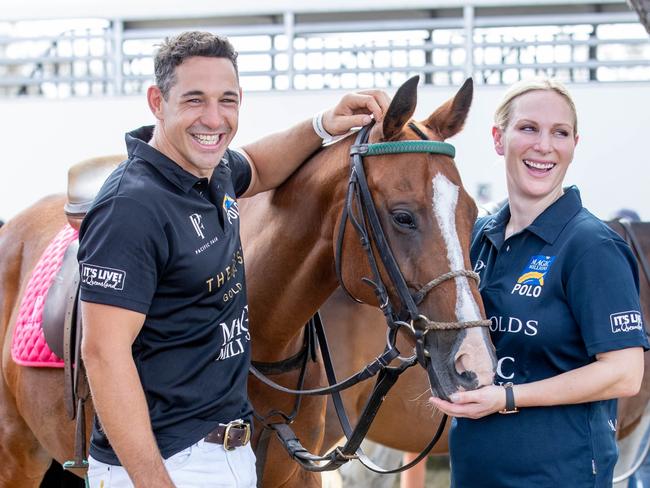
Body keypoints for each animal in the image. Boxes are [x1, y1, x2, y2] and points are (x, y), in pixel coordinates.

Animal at [0, 77, 494, 488]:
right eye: (403, 216)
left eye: (471, 213)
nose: (475, 366)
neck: (266, 344)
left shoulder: (299, 473)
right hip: (17, 455)